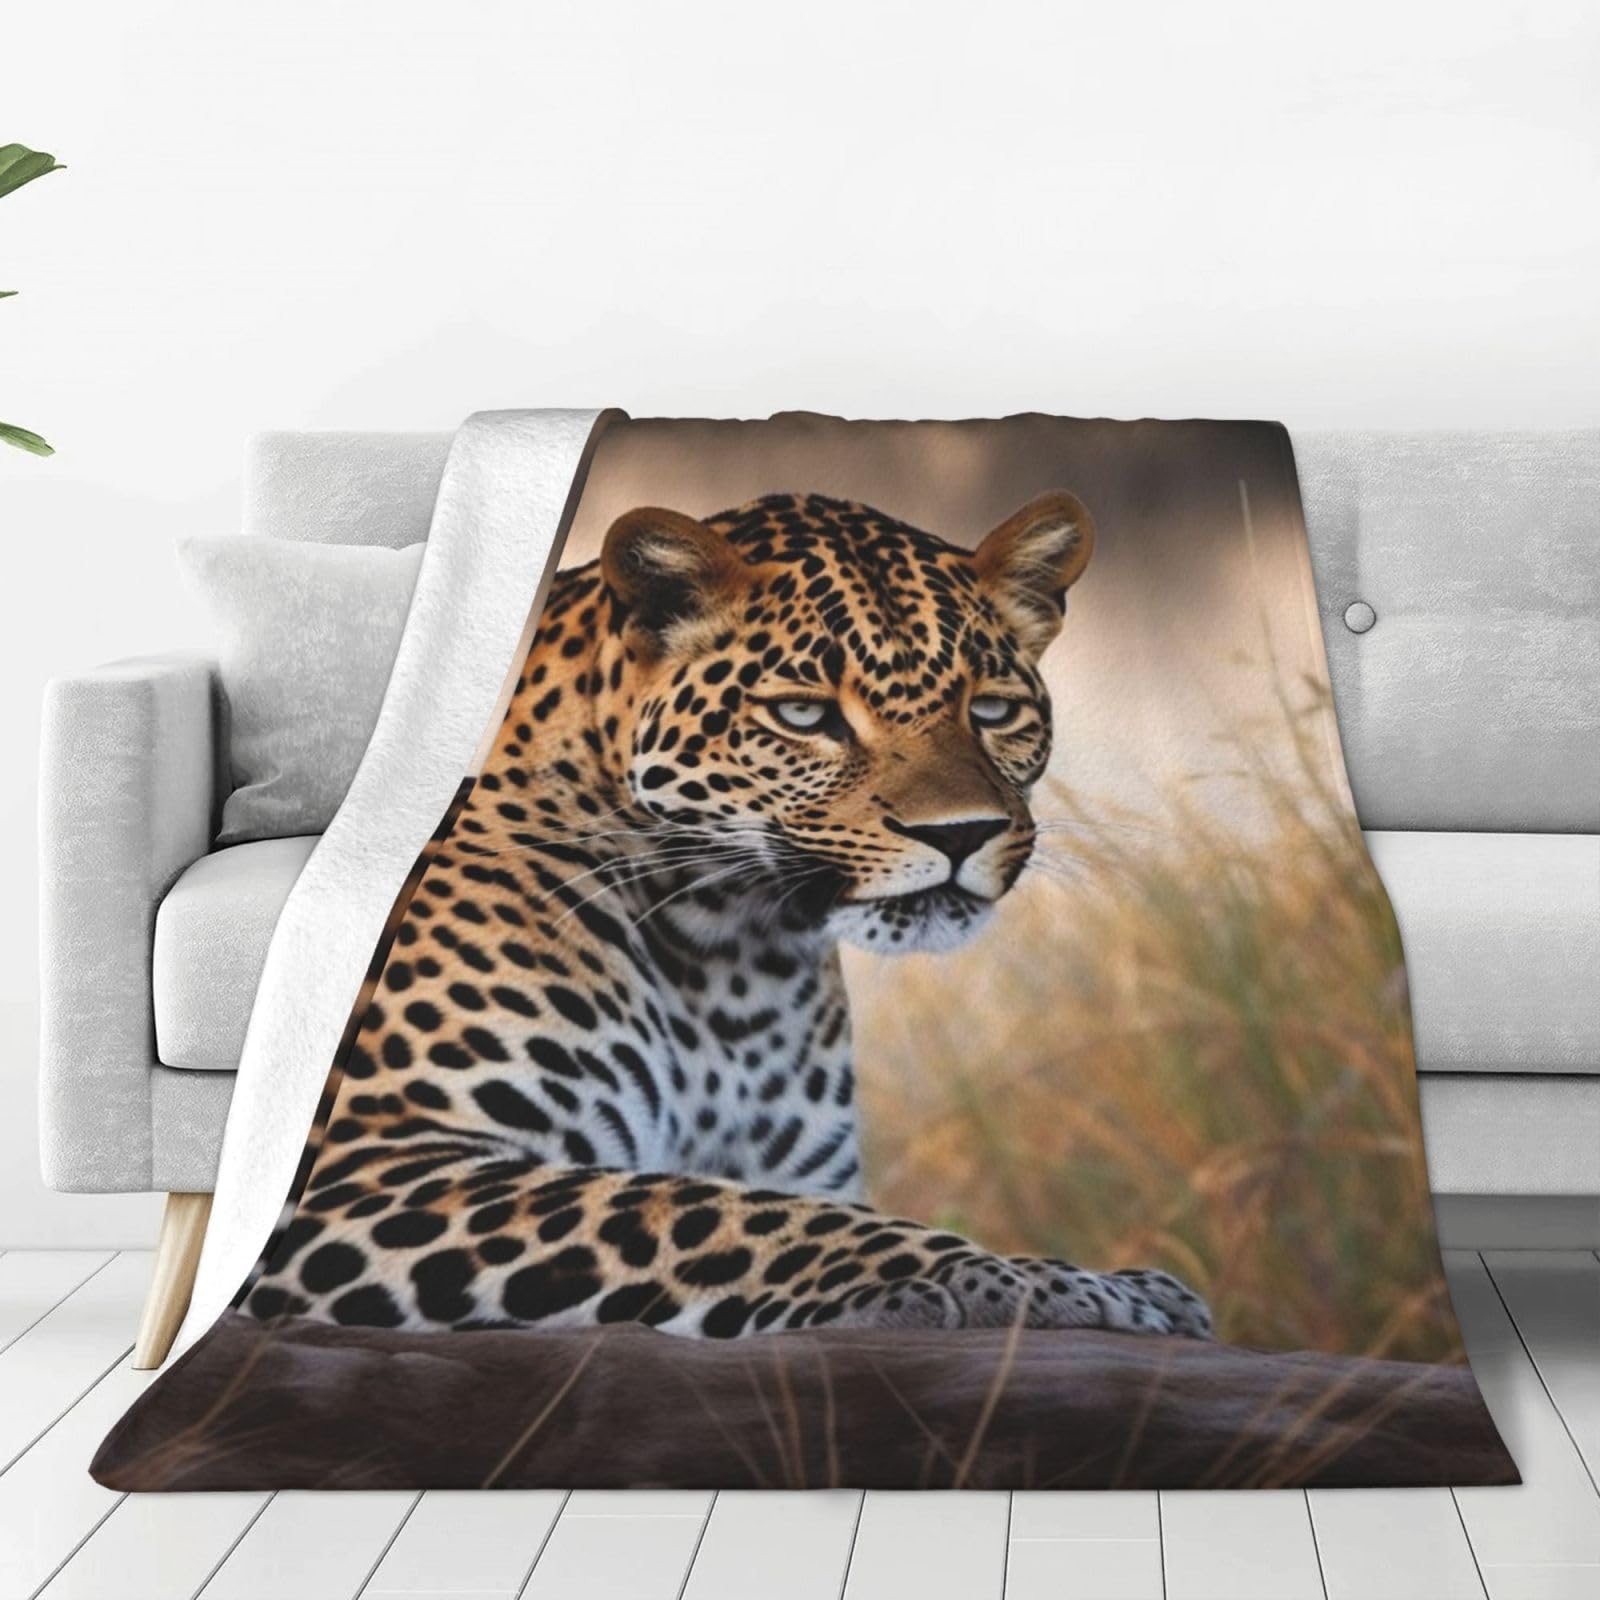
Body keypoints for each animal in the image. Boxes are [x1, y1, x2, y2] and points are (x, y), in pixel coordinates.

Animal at [242, 489, 1213, 1342]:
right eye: (805, 715)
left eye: (994, 709)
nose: (962, 833)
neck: (734, 955)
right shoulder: (367, 1168)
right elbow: (706, 1211)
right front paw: (1029, 1281)